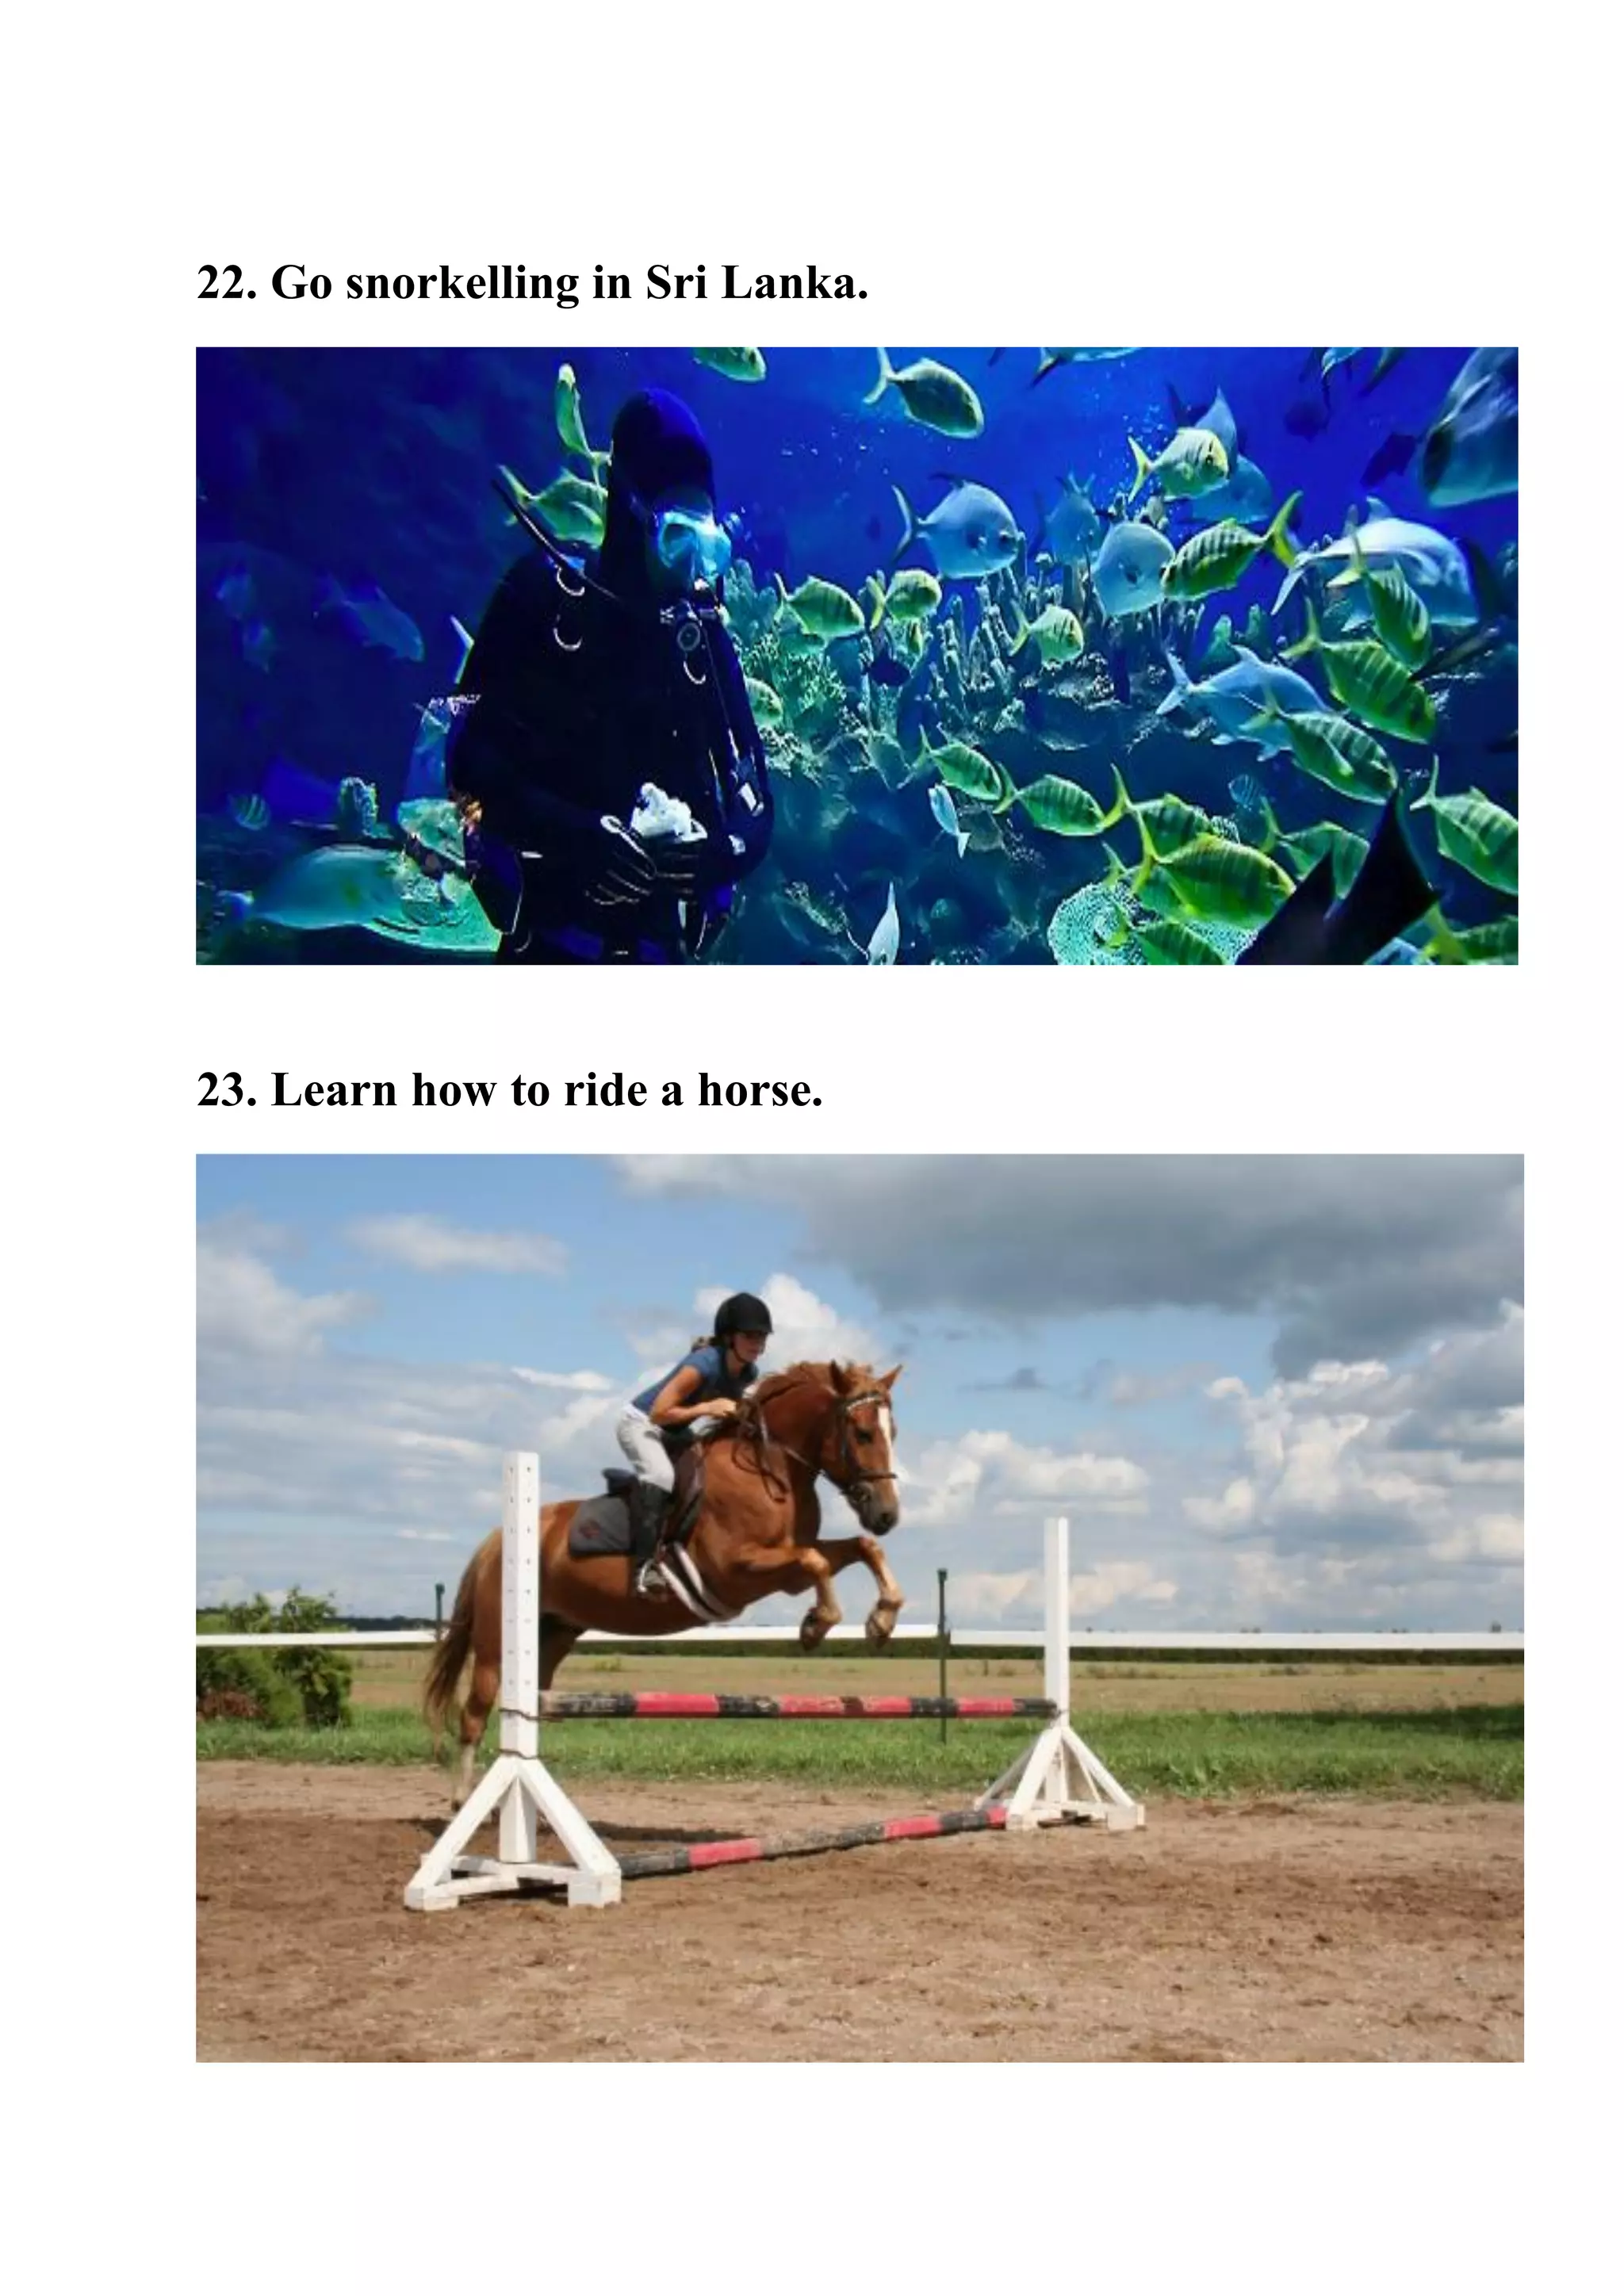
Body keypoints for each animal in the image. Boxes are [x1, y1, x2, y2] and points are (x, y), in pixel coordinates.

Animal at [425, 1358, 904, 1806]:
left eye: (893, 1433)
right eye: (863, 1434)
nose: (887, 1515)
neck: (771, 1470)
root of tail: (494, 1540)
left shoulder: (787, 1565)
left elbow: (862, 1548)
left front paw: (881, 1622)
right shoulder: (736, 1571)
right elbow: (816, 1562)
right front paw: (816, 1624)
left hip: (556, 1631)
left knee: (534, 1700)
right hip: (495, 1643)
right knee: (475, 1713)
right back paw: (463, 1799)